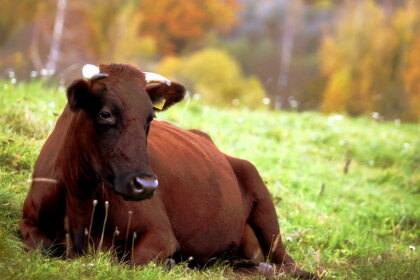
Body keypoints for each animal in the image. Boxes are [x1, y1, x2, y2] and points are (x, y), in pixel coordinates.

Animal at [19, 63, 316, 278]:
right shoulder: (29, 222)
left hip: (267, 212)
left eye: (150, 118)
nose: (147, 185)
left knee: (289, 266)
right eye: (105, 114)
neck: (80, 196)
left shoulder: (160, 234)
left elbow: (129, 263)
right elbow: (40, 247)